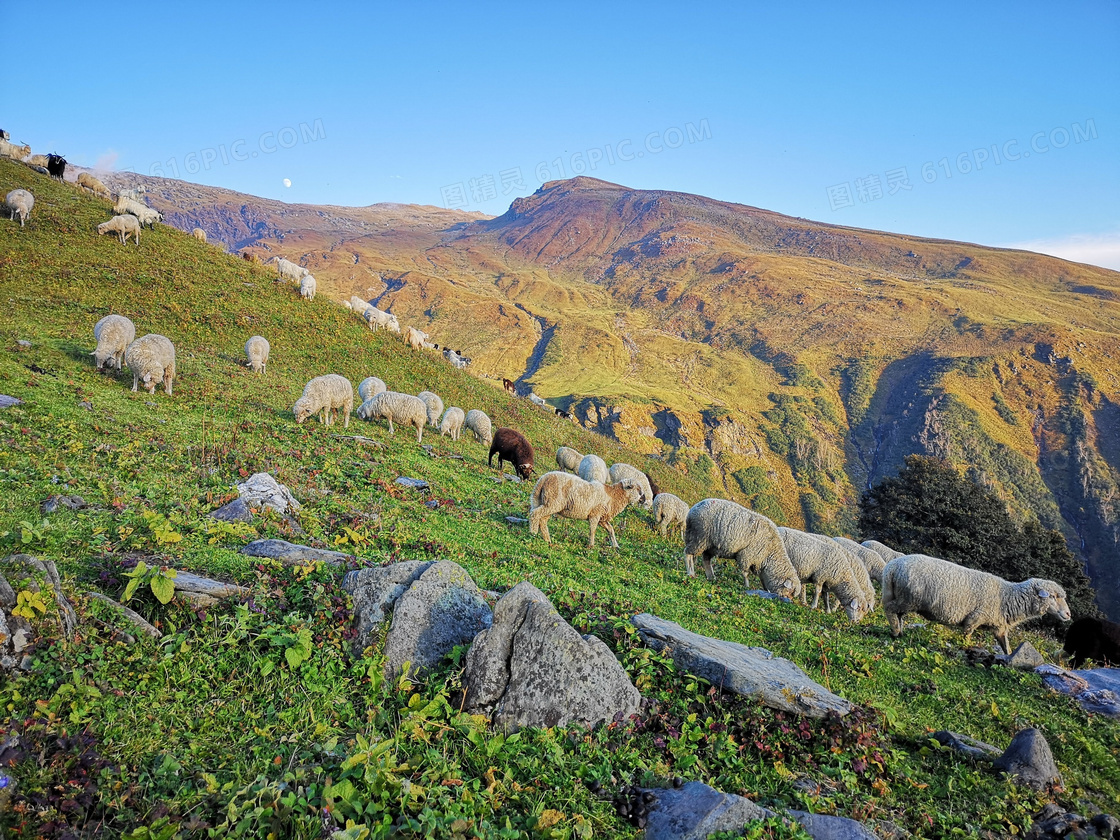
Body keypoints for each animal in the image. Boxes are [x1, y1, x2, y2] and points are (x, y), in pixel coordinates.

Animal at [878, 553, 1070, 658]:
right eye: (1053, 596)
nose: (1068, 615)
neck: (1007, 596)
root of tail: (892, 568)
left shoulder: (999, 627)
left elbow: (1006, 647)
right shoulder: (975, 618)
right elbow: (967, 635)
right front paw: (965, 648)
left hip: (904, 597)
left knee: (898, 614)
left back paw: (900, 631)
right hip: (909, 598)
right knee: (890, 609)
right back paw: (895, 632)